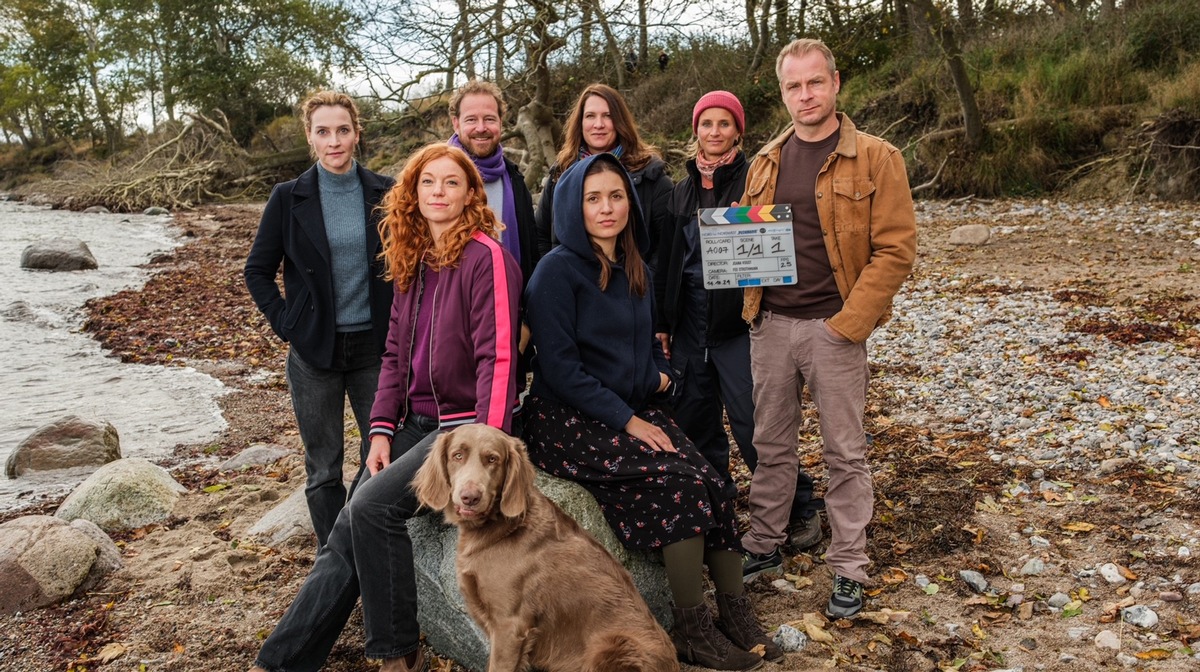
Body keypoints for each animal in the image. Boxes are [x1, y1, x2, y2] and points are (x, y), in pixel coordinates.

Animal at [412, 424, 681, 672]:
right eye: (457, 455)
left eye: (493, 459)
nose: (470, 497)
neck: (501, 528)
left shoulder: (510, 626)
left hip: (612, 646)